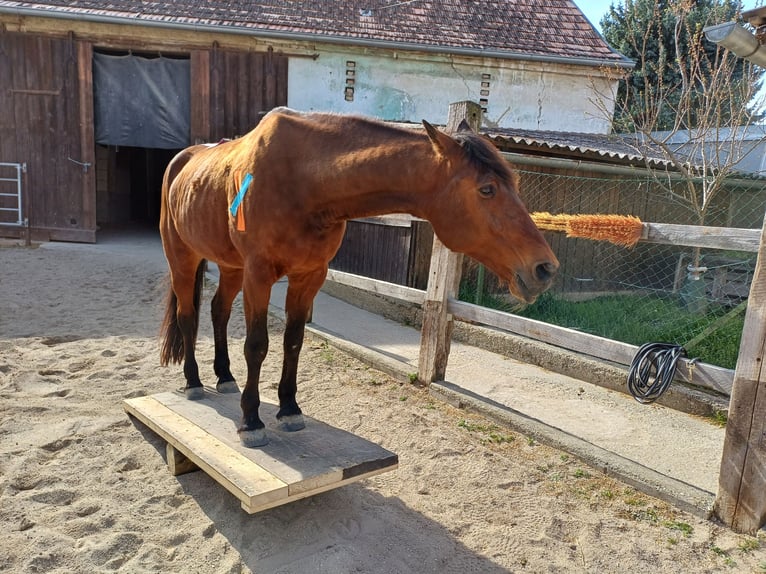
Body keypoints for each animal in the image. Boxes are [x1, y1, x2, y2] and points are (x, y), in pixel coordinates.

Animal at [159, 108, 558, 447]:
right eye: (486, 189)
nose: (545, 268)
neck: (304, 182)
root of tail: (181, 161)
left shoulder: (309, 276)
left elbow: (293, 341)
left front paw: (289, 410)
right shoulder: (259, 274)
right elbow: (257, 345)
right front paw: (252, 421)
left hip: (230, 267)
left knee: (218, 312)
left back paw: (224, 377)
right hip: (184, 259)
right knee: (187, 316)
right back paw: (194, 382)